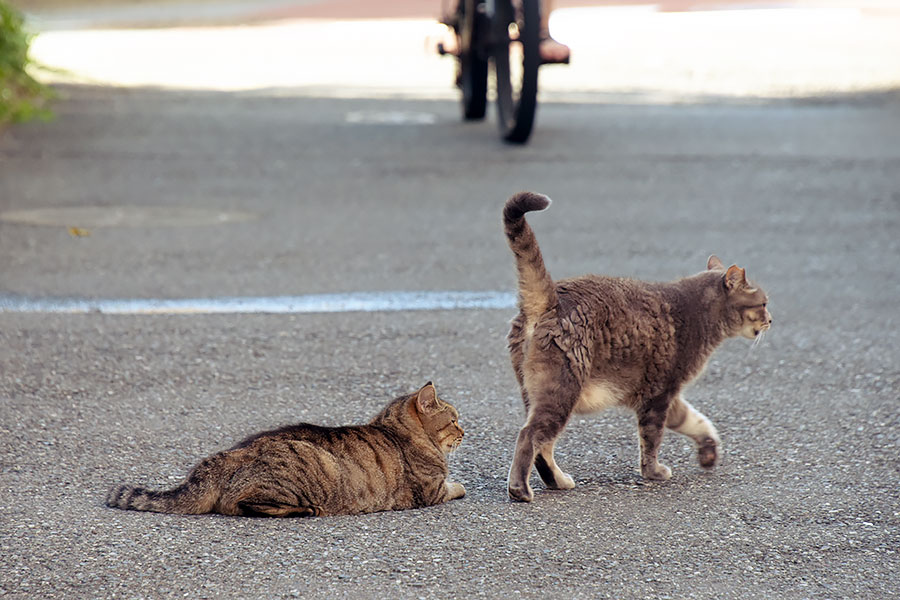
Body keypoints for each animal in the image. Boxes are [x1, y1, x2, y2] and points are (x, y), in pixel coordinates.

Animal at [107, 384, 464, 516]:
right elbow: (455, 486)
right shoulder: (430, 491)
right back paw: (306, 510)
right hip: (311, 468)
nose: (465, 431)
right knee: (241, 505)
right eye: (454, 419)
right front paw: (460, 484)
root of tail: (229, 454)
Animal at [502, 191, 768, 502]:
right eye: (763, 303)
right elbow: (652, 439)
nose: (771, 320)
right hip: (561, 392)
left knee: (542, 447)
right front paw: (653, 472)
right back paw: (520, 490)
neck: (698, 313)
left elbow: (696, 421)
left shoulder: (669, 395)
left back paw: (557, 481)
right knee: (530, 436)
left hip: (533, 391)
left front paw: (708, 452)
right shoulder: (658, 395)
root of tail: (553, 298)